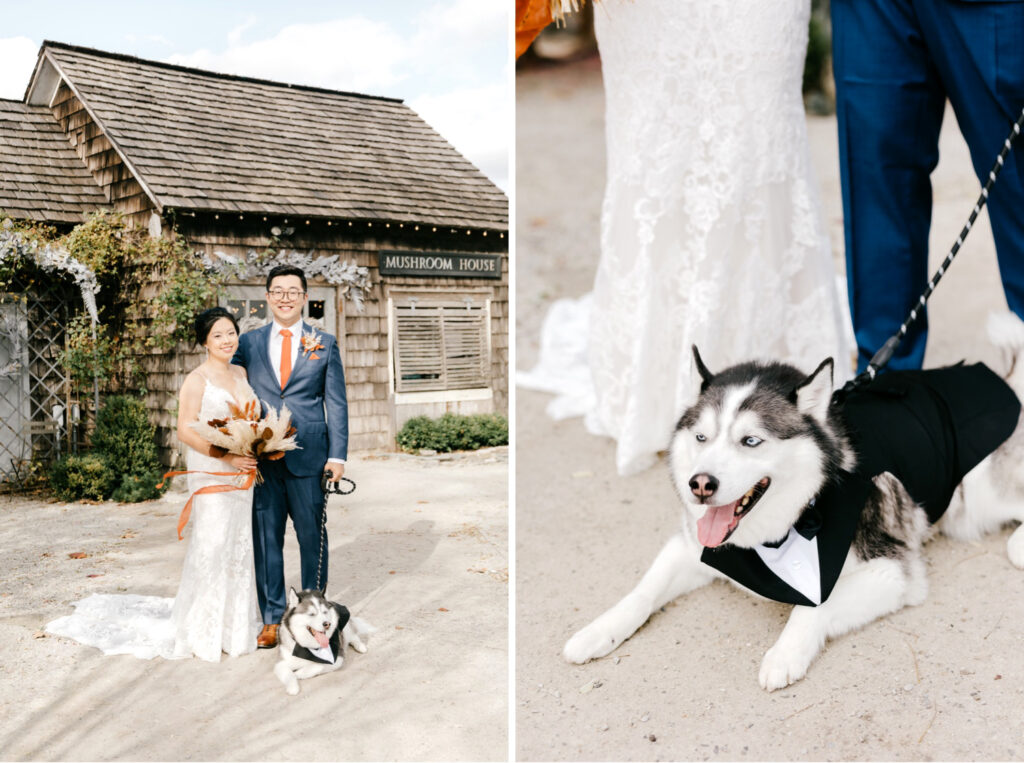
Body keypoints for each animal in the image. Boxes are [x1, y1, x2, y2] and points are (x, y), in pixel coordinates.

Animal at [565, 311, 1024, 692]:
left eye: (751, 441)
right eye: (702, 437)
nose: (701, 484)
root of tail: (1005, 380)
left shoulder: (894, 571)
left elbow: (816, 605)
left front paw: (784, 653)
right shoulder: (692, 547)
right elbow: (642, 591)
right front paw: (598, 630)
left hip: (979, 494)